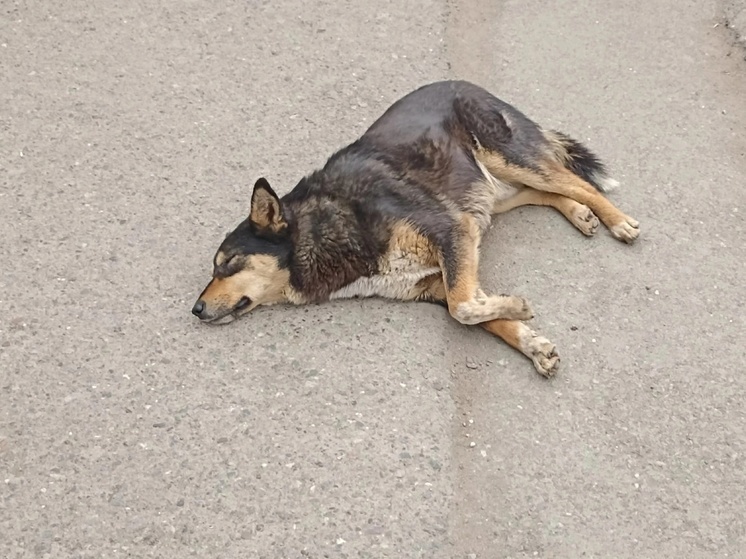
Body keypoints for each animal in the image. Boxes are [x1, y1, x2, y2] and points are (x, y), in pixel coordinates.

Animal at [192, 80, 640, 376]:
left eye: (227, 264)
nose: (195, 310)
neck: (325, 225)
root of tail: (467, 82)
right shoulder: (442, 270)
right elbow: (476, 310)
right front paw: (529, 340)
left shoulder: (452, 230)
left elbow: (465, 308)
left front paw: (516, 305)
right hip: (487, 191)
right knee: (546, 191)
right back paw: (579, 213)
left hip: (505, 158)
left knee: (575, 181)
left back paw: (617, 220)